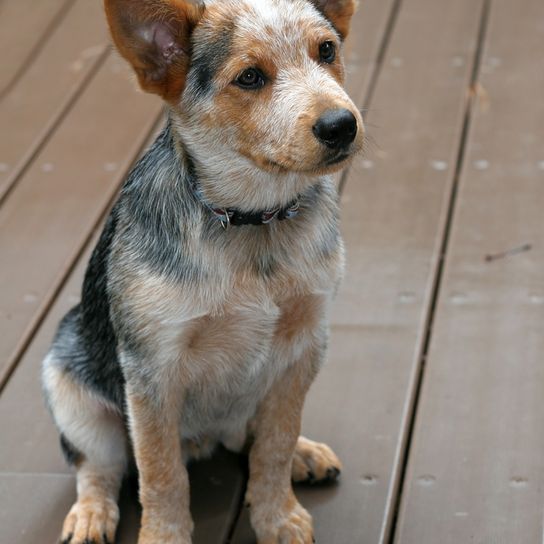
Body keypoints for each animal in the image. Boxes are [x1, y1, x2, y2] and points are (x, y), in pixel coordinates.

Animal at [43, 0, 366, 540]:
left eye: (326, 50)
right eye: (250, 77)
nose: (342, 125)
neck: (254, 222)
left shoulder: (305, 344)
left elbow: (276, 442)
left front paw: (277, 515)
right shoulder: (152, 370)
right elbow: (160, 473)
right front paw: (164, 535)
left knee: (252, 438)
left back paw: (304, 454)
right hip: (69, 382)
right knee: (98, 466)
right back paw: (91, 514)